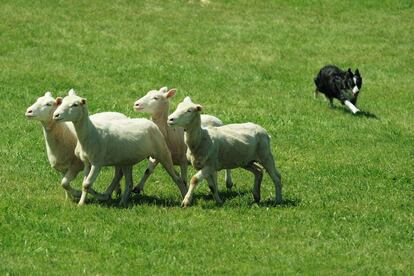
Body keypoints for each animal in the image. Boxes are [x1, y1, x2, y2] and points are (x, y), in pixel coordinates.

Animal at [52, 90, 187, 205]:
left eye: (75, 105)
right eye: (62, 101)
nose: (56, 115)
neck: (91, 133)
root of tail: (152, 123)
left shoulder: (97, 162)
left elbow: (86, 184)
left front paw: (82, 202)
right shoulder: (87, 162)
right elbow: (85, 183)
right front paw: (86, 198)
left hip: (162, 152)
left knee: (177, 178)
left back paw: (185, 198)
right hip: (127, 160)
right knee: (129, 182)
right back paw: (122, 202)